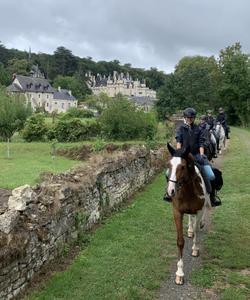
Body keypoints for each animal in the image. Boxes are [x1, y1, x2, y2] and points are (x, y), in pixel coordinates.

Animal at [166, 144, 211, 284]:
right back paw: (190, 229)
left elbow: (197, 231)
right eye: (169, 165)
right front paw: (180, 273)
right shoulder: (177, 212)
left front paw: (195, 249)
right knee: (191, 218)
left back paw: (200, 224)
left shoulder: (199, 210)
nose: (170, 191)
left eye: (182, 166)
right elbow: (180, 241)